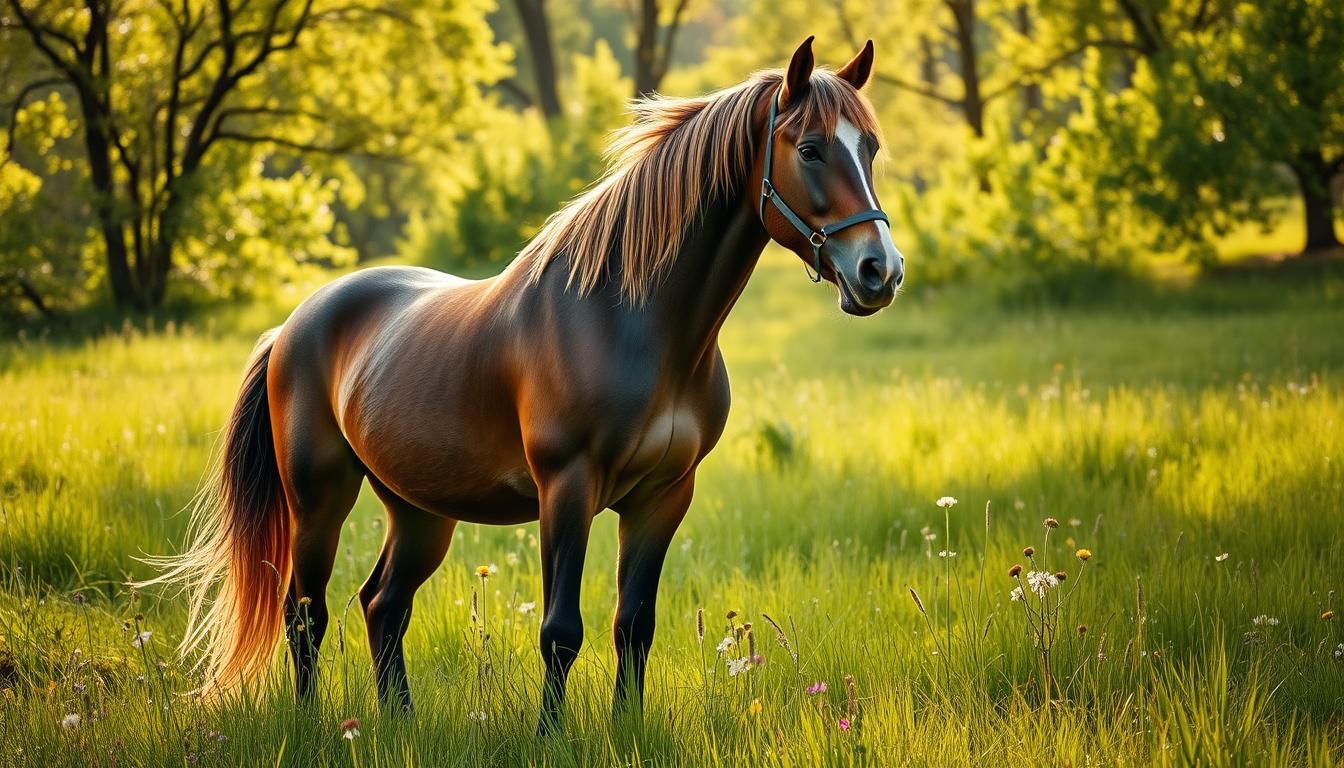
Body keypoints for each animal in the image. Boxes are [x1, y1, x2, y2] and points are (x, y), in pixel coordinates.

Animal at [144, 35, 903, 731]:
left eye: (869, 148)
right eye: (810, 149)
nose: (880, 271)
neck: (630, 320)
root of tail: (293, 325)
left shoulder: (664, 497)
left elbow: (635, 625)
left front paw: (626, 730)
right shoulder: (566, 488)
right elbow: (561, 630)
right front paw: (551, 735)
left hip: (419, 510)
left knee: (383, 604)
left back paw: (399, 722)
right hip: (318, 497)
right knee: (306, 612)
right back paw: (310, 722)